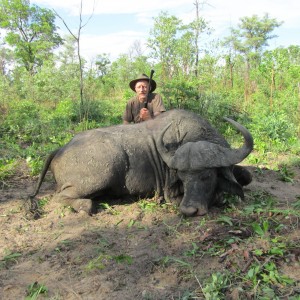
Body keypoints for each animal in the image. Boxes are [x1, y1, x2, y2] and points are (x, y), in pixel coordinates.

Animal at [30, 109, 253, 217]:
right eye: (182, 177)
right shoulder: (172, 195)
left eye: (206, 175)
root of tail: (61, 148)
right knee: (60, 197)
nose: (189, 210)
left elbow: (247, 176)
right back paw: (86, 205)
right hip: (102, 174)